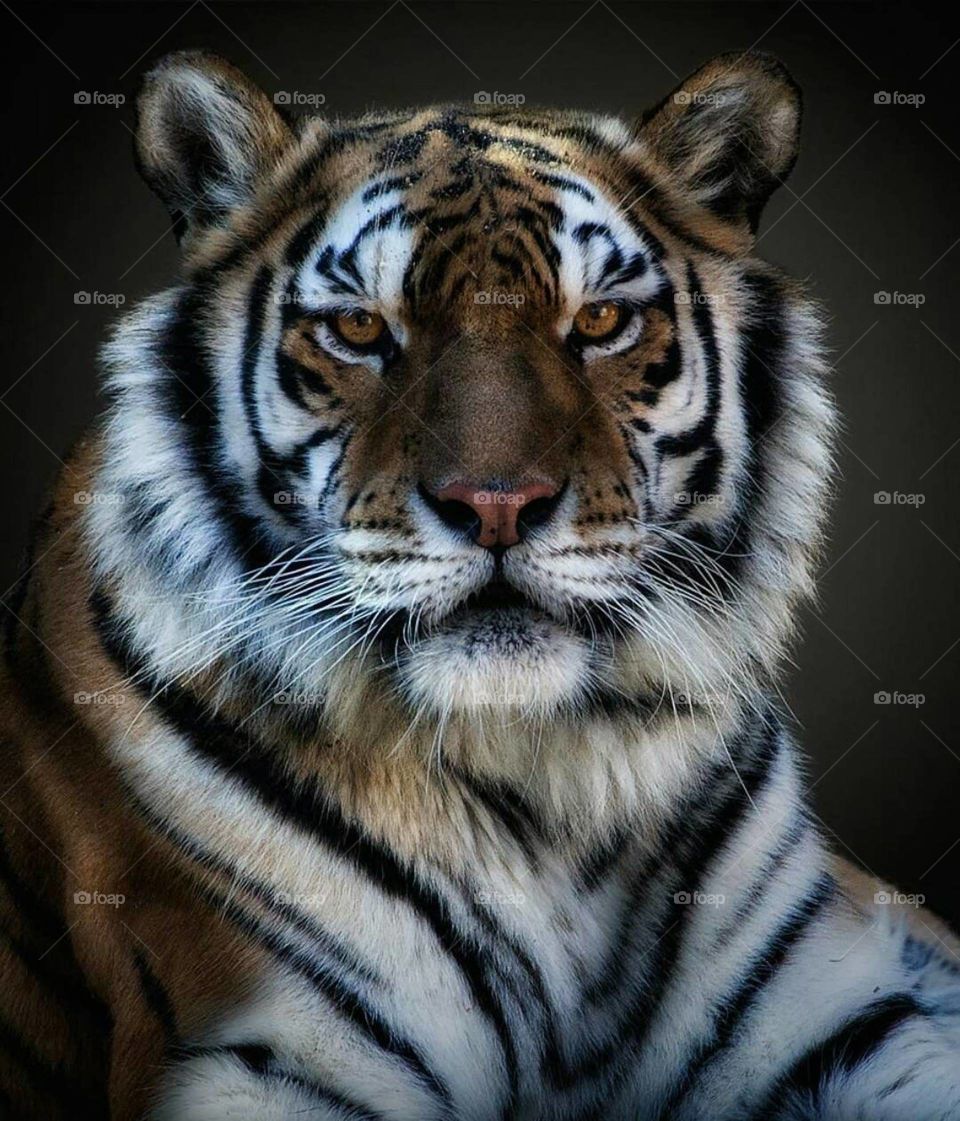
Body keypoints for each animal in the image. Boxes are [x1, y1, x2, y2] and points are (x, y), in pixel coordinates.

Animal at [1, 43, 959, 1121]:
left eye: (601, 320)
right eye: (359, 330)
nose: (497, 505)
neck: (547, 777)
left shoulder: (846, 1009)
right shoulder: (264, 1050)